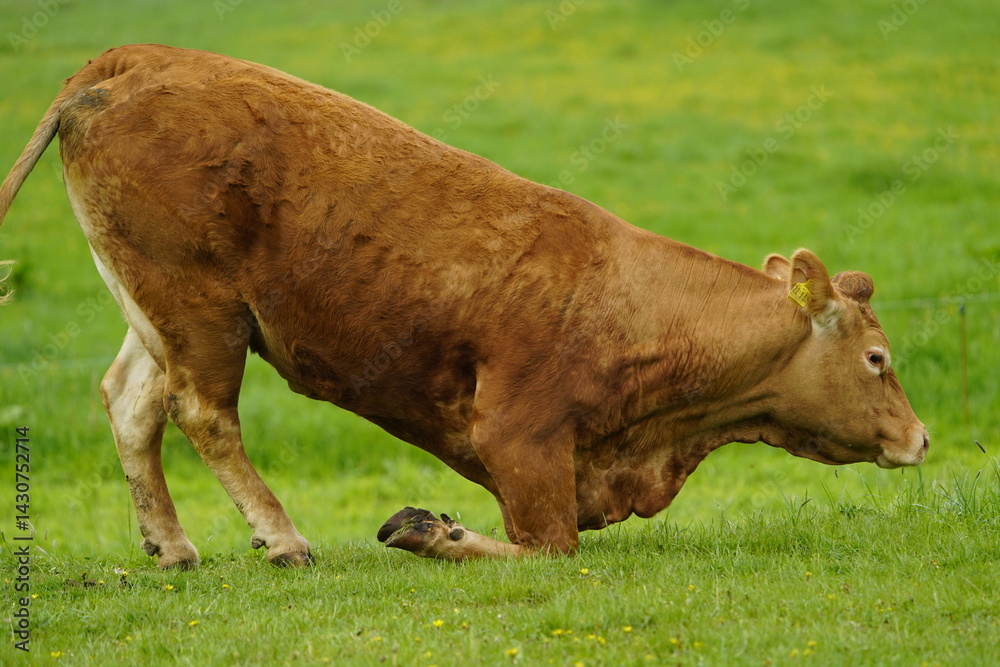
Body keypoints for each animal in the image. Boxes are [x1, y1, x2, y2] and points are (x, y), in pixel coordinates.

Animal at [0, 45, 928, 567]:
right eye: (877, 358)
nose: (920, 438)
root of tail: (135, 59)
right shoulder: (522, 442)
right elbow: (544, 549)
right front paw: (429, 528)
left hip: (158, 310)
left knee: (132, 403)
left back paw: (172, 545)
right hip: (199, 311)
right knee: (204, 414)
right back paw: (283, 538)